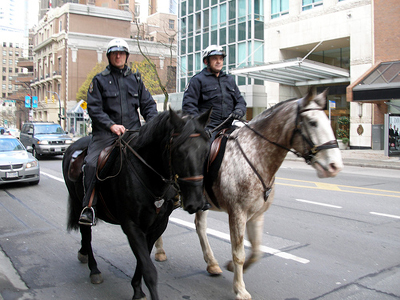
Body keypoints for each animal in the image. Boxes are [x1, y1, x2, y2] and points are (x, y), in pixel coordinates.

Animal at [61, 109, 211, 300]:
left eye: (206, 151)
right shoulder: (131, 226)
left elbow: (143, 260)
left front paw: (137, 289)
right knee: (86, 234)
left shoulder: (157, 226)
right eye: (179, 152)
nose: (197, 203)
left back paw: (83, 253)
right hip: (81, 205)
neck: (148, 173)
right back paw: (94, 269)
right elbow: (149, 270)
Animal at [156, 89, 344, 300]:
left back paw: (211, 263)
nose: (335, 166)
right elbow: (239, 252)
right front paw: (240, 288)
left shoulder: (257, 214)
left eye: (328, 120)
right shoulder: (237, 213)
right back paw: (160, 251)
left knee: (200, 227)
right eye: (312, 122)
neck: (255, 156)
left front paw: (232, 267)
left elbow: (255, 251)